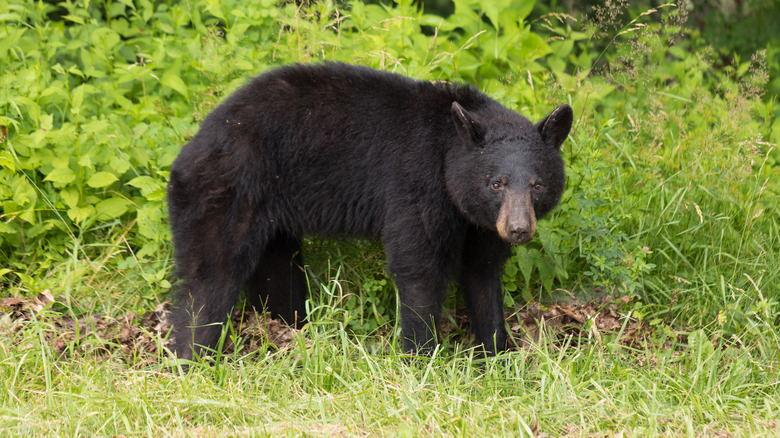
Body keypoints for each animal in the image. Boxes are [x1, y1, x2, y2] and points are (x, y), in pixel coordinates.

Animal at [168, 62, 572, 362]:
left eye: (537, 185)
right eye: (497, 183)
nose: (518, 229)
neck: (449, 156)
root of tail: (195, 142)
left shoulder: (483, 223)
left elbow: (483, 273)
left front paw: (497, 354)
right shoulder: (416, 183)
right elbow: (417, 265)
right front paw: (422, 356)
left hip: (272, 219)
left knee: (279, 275)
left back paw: (288, 328)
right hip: (228, 191)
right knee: (211, 279)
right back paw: (193, 357)